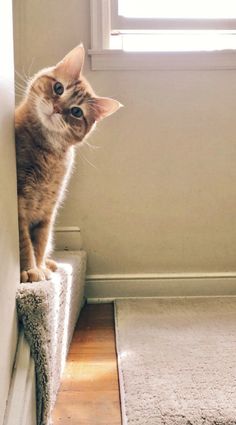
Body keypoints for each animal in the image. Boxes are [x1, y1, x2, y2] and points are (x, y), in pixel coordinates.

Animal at [15, 44, 121, 282]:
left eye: (76, 112)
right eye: (58, 88)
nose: (56, 108)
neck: (45, 151)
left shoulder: (48, 212)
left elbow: (40, 243)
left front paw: (40, 268)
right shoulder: (20, 206)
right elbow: (24, 243)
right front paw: (29, 270)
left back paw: (49, 264)